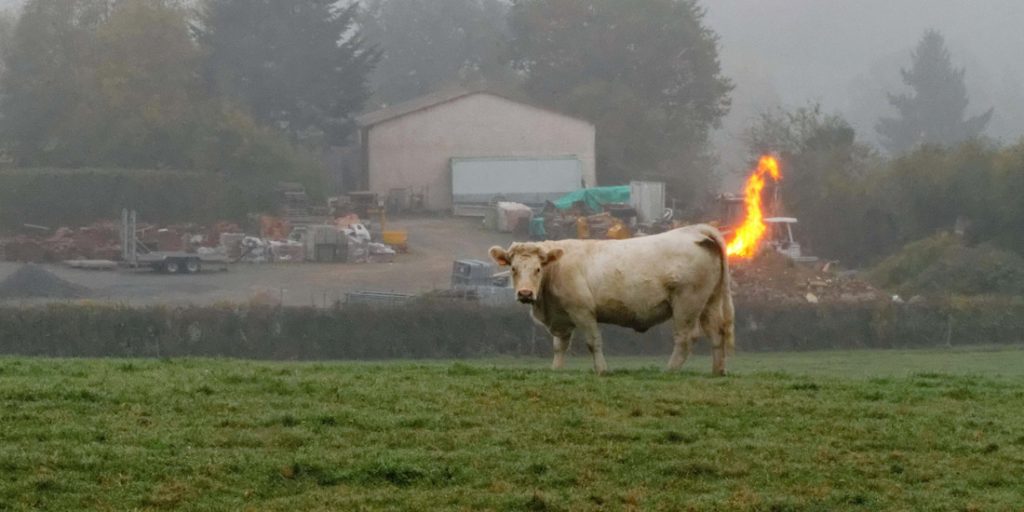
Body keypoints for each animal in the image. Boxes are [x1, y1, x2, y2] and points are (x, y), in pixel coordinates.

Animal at [489, 224, 734, 375]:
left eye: (538, 269)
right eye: (513, 268)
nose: (525, 294)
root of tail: (695, 231)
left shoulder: (583, 311)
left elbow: (593, 342)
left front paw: (602, 370)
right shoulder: (562, 317)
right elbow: (560, 346)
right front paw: (556, 370)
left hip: (687, 303)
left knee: (686, 337)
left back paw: (670, 371)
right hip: (709, 302)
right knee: (716, 333)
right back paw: (718, 371)